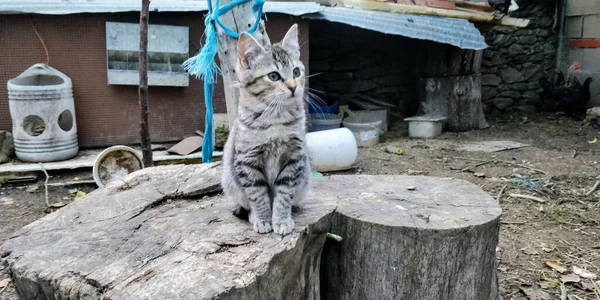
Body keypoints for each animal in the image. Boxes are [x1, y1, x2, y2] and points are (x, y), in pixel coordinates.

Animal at [221, 24, 314, 236]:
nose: (293, 87)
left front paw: (281, 219)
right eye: (273, 76)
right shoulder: (247, 161)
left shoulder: (293, 158)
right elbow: (258, 195)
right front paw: (263, 219)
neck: (275, 119)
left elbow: (284, 193)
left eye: (296, 71)